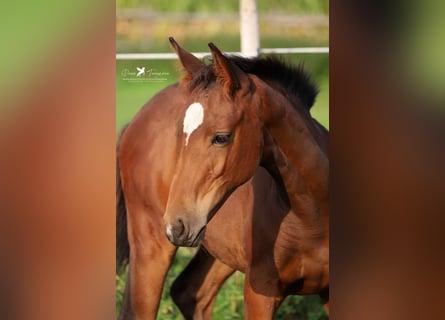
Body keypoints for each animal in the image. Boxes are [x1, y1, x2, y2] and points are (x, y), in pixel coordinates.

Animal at [116, 38, 328, 320]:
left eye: (222, 137)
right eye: (179, 134)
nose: (177, 225)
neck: (311, 218)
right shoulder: (260, 292)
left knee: (189, 293)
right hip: (150, 244)